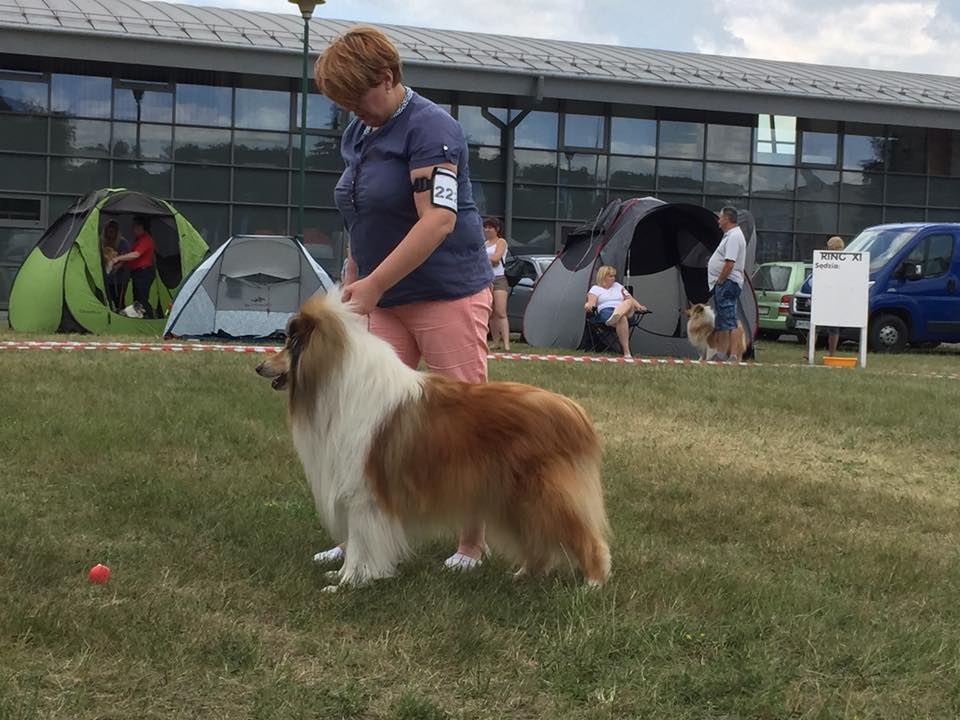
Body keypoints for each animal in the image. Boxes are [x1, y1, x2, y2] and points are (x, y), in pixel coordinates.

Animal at [255, 292, 612, 592]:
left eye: (289, 342)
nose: (259, 365)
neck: (336, 382)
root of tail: (573, 411)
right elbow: (358, 543)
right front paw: (342, 576)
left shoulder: (363, 495)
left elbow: (360, 544)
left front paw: (349, 583)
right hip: (514, 499)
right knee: (540, 543)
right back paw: (524, 574)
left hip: (545, 495)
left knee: (587, 538)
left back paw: (592, 584)